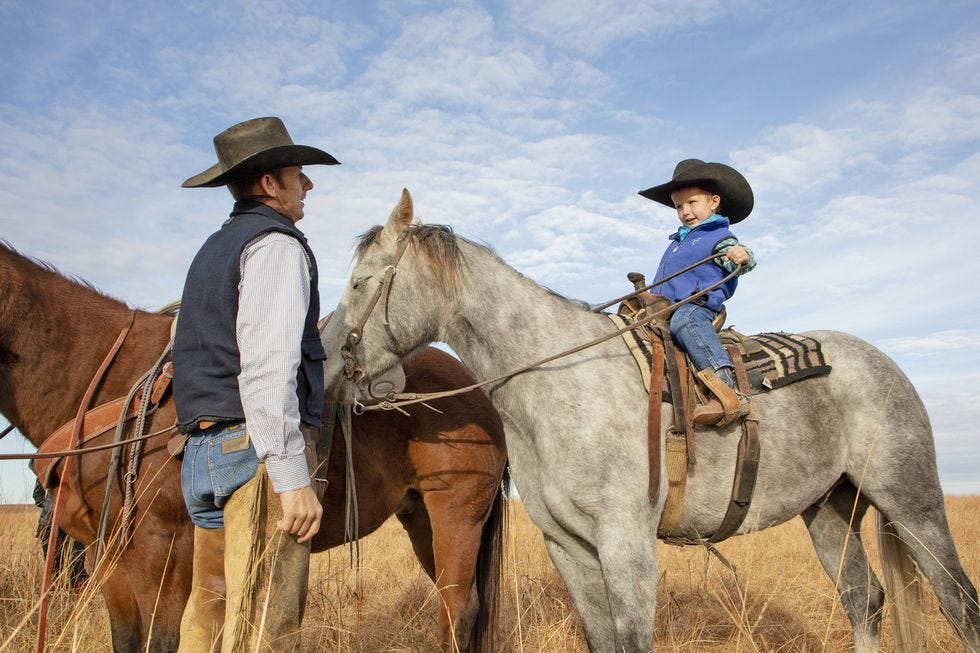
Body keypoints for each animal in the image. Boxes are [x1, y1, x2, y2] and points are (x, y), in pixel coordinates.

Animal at [0, 241, 506, 652]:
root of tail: (480, 392)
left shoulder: (164, 552)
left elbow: (162, 640)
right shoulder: (108, 560)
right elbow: (127, 639)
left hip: (456, 516)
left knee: (459, 612)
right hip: (421, 519)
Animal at [324, 186, 980, 648]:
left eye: (361, 282)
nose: (326, 363)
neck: (560, 385)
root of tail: (885, 365)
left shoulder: (626, 540)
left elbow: (633, 639)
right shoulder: (569, 545)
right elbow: (603, 640)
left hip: (912, 502)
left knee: (959, 604)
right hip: (829, 508)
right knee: (863, 600)